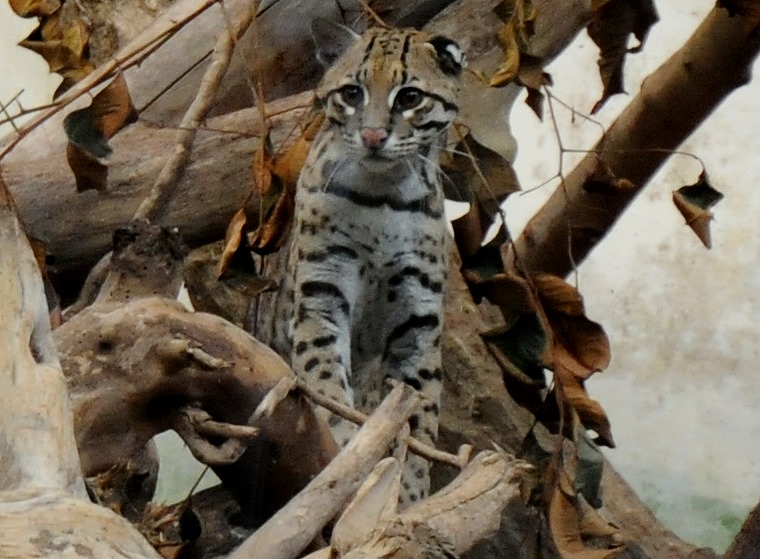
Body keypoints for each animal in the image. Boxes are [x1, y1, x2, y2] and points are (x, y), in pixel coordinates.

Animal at [264, 19, 464, 506]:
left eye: (409, 97)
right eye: (352, 93)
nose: (373, 137)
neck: (383, 194)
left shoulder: (418, 322)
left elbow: (417, 420)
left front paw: (406, 499)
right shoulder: (320, 293)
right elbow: (325, 383)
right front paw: (344, 452)